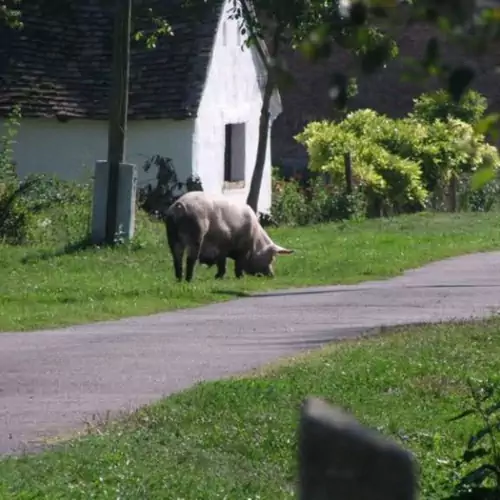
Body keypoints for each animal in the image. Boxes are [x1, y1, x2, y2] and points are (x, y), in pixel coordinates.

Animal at [164, 190, 292, 282]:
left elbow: (222, 262)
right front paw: (238, 277)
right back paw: (189, 280)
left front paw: (219, 277)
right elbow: (233, 264)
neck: (255, 241)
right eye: (271, 258)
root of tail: (179, 205)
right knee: (190, 259)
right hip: (196, 233)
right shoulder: (235, 248)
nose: (272, 275)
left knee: (177, 258)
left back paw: (179, 280)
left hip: (172, 236)